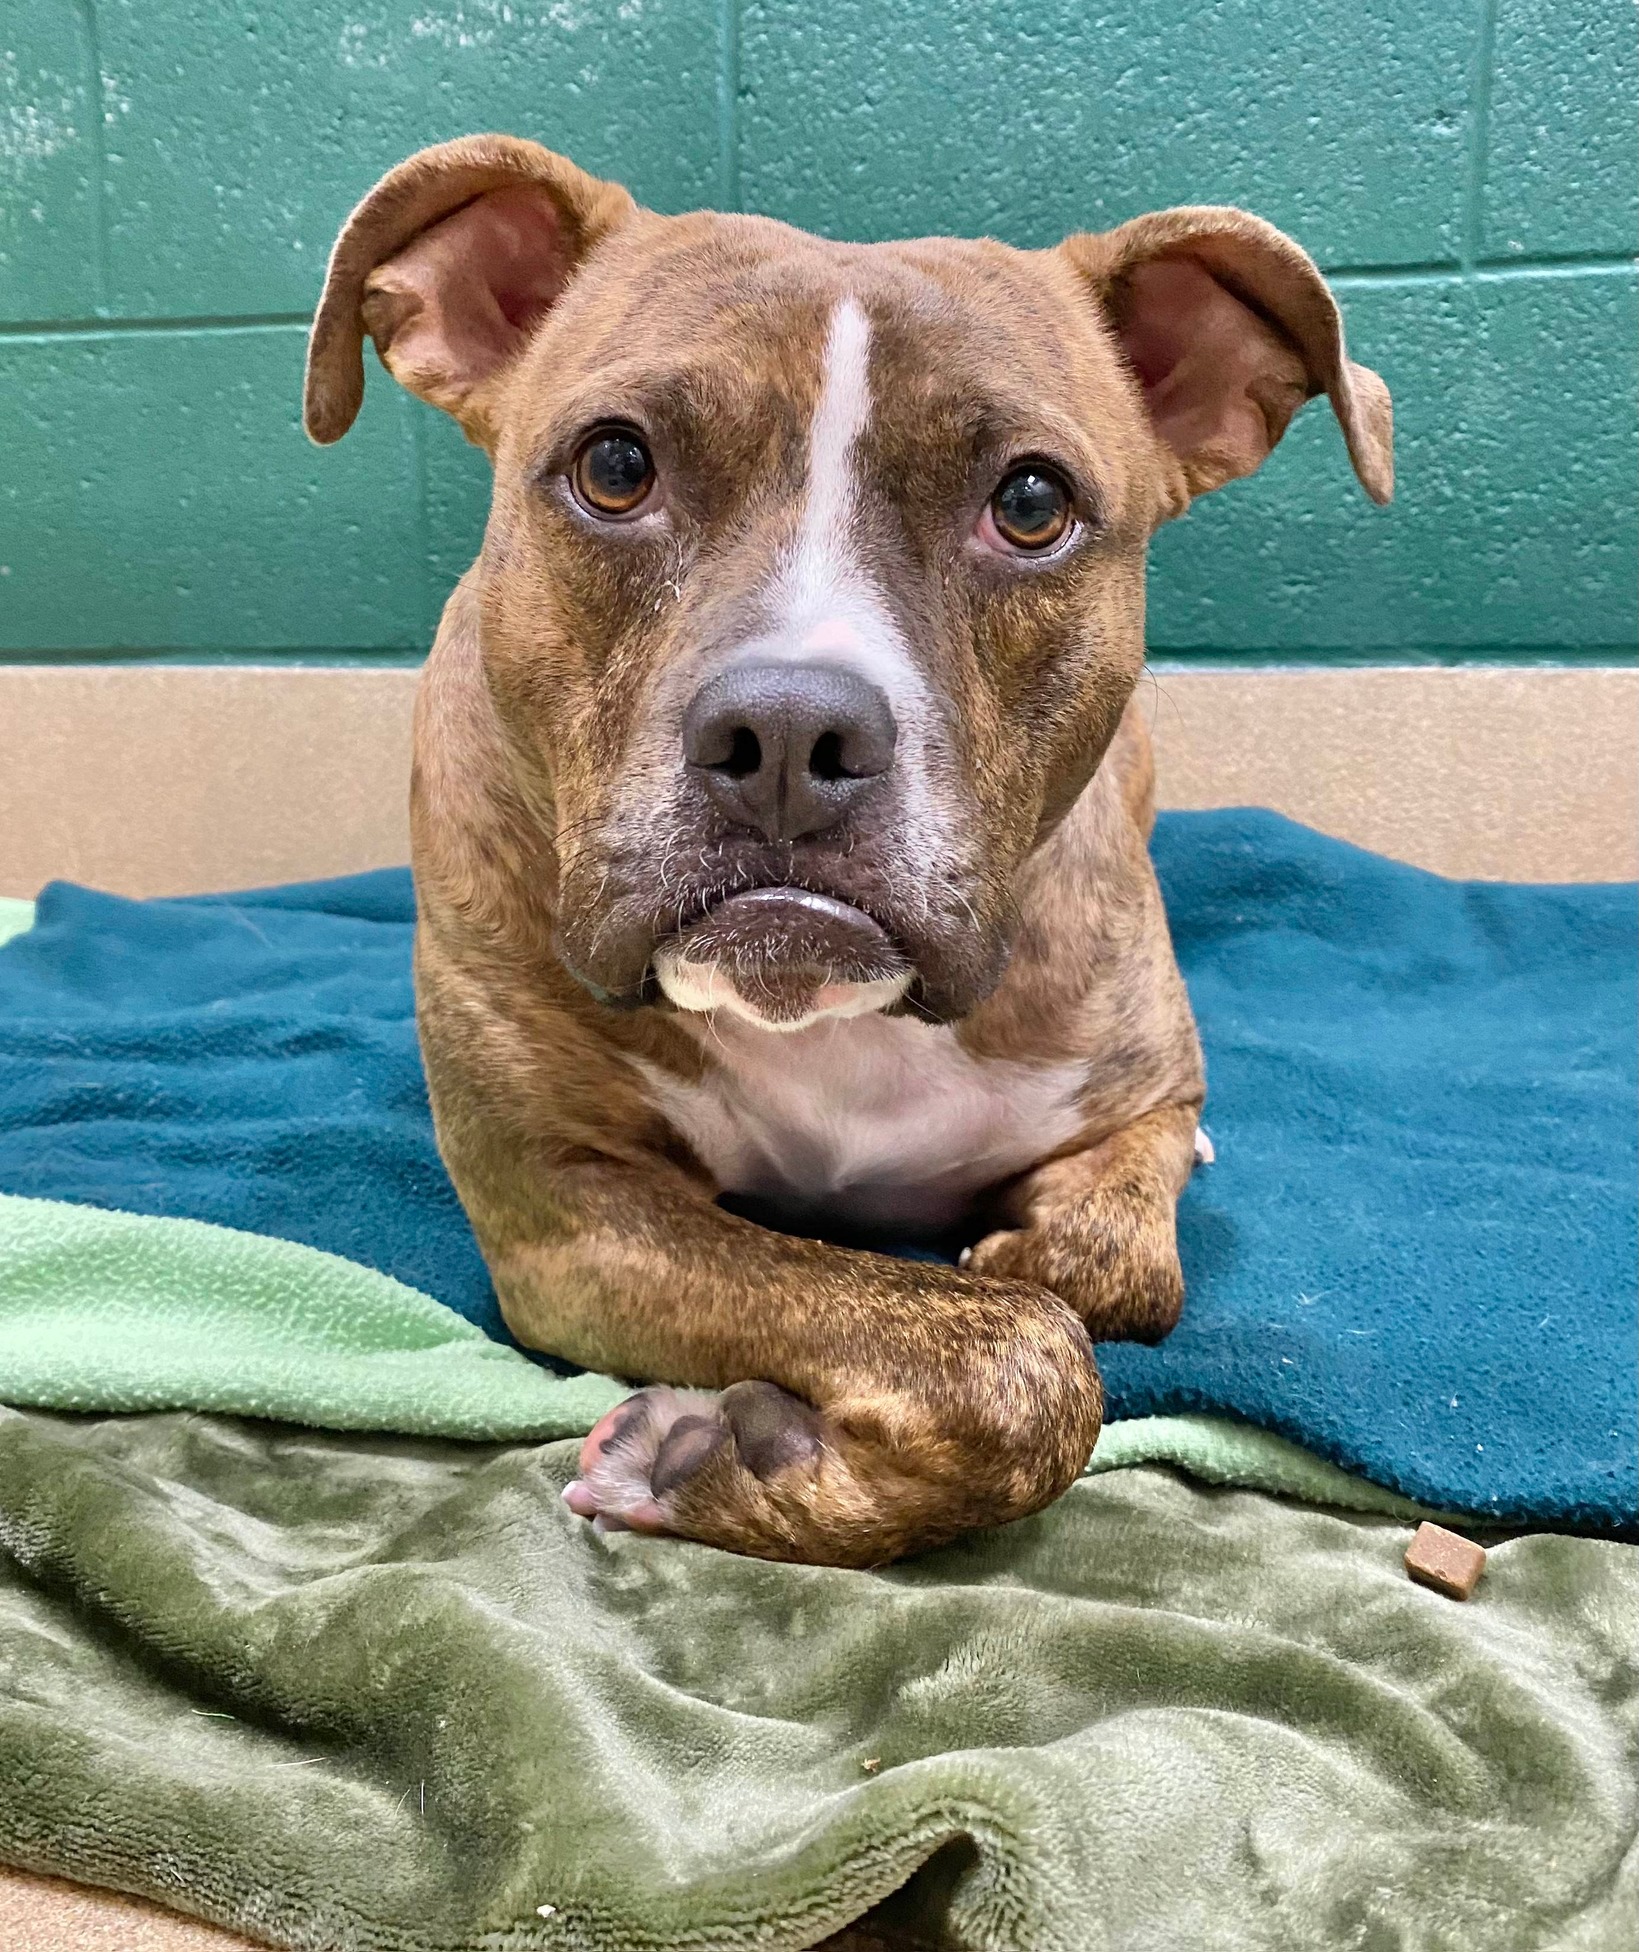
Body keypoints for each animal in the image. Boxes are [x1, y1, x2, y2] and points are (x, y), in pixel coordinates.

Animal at [300, 133, 1389, 1569]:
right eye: (615, 467)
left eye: (1029, 500)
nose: (784, 730)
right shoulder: (564, 1200)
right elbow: (1019, 1357)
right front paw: (737, 1453)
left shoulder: (1141, 1092)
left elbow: (1101, 1280)